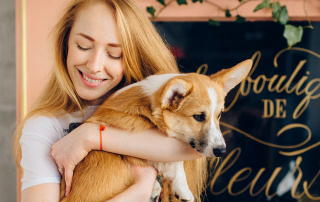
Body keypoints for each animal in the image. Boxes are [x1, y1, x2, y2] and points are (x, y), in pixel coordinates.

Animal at [59, 59, 252, 201]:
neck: (150, 107)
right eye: (198, 117)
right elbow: (175, 164)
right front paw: (183, 190)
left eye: (219, 115)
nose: (222, 151)